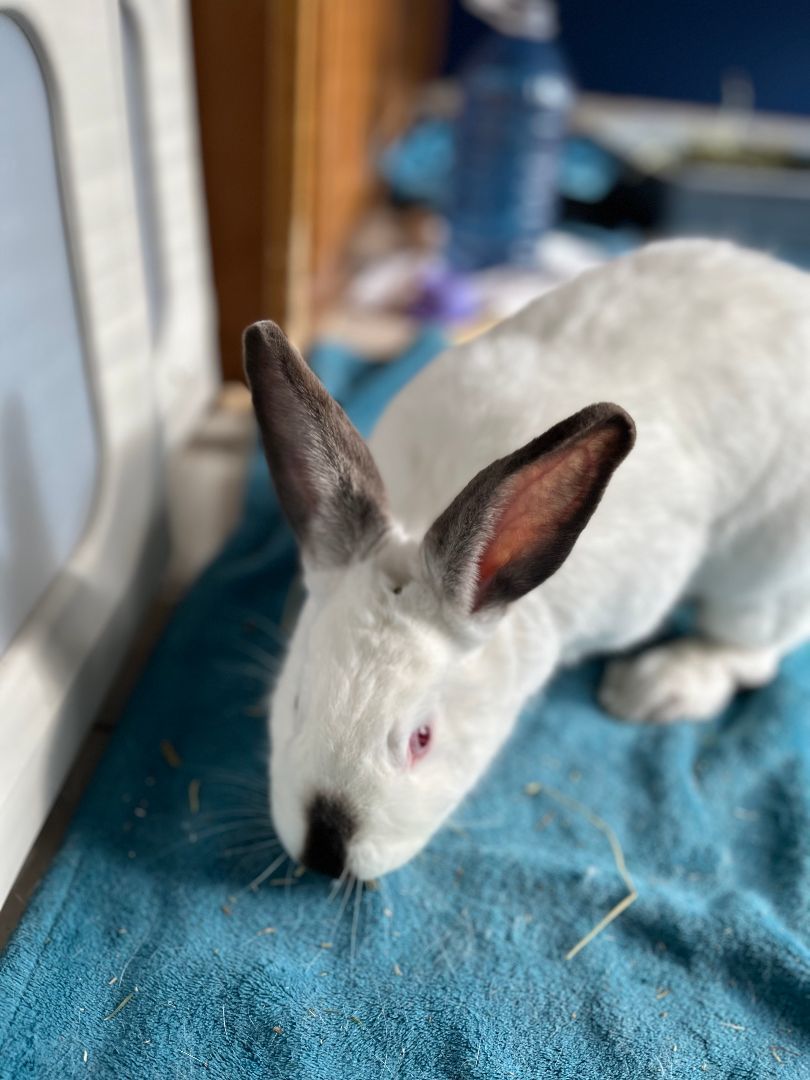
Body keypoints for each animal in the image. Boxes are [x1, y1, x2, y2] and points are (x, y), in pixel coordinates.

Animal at [243, 238, 810, 881]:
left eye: (422, 739)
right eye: (297, 701)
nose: (324, 854)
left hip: (765, 573)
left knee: (751, 650)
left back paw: (655, 687)